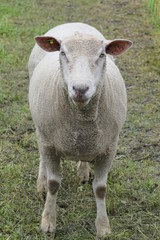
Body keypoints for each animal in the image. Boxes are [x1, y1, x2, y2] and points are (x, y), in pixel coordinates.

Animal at [28, 22, 132, 238]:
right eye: (62, 52)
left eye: (102, 54)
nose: (80, 89)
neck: (81, 121)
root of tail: (74, 24)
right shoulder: (49, 144)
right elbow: (53, 184)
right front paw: (48, 223)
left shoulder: (109, 147)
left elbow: (101, 188)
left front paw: (103, 227)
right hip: (41, 128)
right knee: (41, 155)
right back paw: (41, 184)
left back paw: (83, 173)